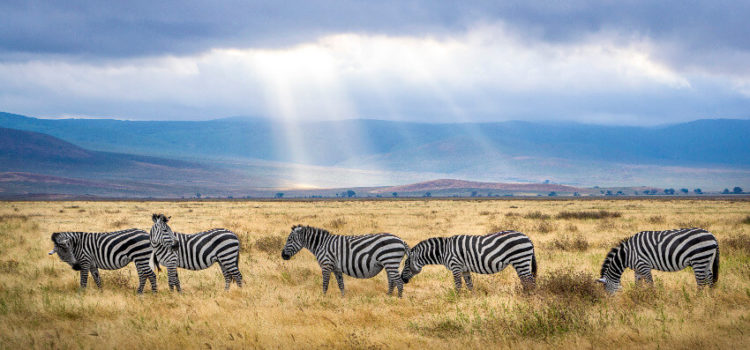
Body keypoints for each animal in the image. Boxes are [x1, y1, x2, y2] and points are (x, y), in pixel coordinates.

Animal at [282, 226, 412, 296]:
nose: (283, 255)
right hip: (389, 264)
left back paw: (398, 300)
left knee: (399, 282)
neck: (321, 245)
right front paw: (343, 298)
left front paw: (323, 298)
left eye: (289, 240)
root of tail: (401, 240)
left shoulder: (326, 265)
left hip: (390, 261)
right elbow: (341, 284)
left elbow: (325, 284)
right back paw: (388, 297)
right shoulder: (336, 268)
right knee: (392, 281)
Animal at [402, 231, 536, 292]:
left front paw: (457, 300)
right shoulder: (465, 269)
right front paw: (472, 299)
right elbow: (469, 285)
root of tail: (528, 238)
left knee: (530, 281)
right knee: (526, 280)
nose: (402, 279)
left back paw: (529, 297)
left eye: (406, 264)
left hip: (520, 260)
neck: (444, 251)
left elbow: (458, 285)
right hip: (521, 262)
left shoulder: (455, 266)